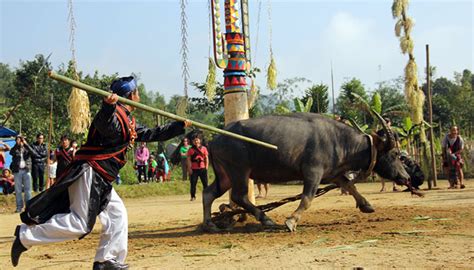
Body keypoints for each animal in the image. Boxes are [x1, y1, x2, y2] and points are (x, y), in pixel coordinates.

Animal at [202, 113, 412, 231]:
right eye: (394, 154)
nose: (406, 177)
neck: (340, 141)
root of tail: (215, 139)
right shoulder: (313, 173)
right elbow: (307, 199)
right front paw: (292, 221)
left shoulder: (332, 174)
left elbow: (350, 186)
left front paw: (366, 205)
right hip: (239, 171)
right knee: (239, 196)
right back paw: (266, 219)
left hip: (226, 175)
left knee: (208, 193)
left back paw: (209, 224)